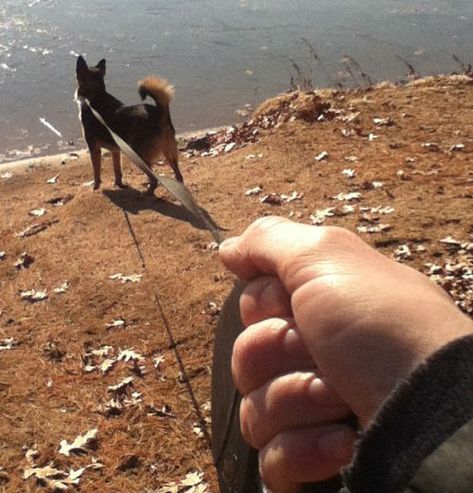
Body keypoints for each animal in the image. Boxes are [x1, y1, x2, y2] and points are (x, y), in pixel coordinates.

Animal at [75, 56, 183, 193]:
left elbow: (96, 170)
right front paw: (119, 185)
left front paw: (95, 187)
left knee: (154, 179)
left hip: (139, 155)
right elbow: (117, 169)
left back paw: (147, 192)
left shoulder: (94, 148)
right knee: (178, 175)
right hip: (169, 153)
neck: (95, 95)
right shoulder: (116, 150)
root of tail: (160, 113)